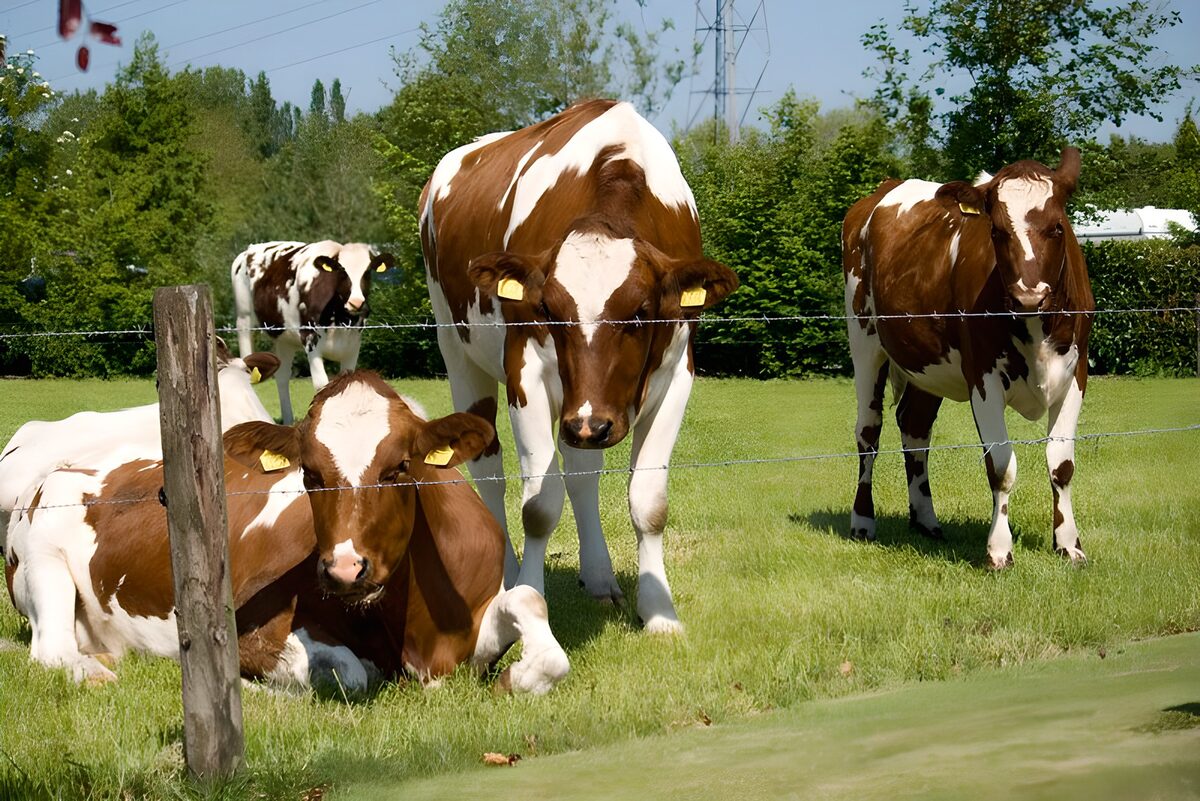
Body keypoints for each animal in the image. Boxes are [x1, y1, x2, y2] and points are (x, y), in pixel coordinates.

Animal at [5, 371, 568, 695]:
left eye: (399, 467)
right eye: (310, 474)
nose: (345, 569)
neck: (420, 634)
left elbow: (532, 607)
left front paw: (519, 676)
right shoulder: (247, 631)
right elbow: (350, 673)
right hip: (41, 561)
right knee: (51, 650)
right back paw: (93, 669)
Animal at [232, 240, 396, 424]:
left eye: (367, 271)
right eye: (342, 271)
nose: (356, 302)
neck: (339, 322)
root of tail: (250, 249)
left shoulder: (354, 344)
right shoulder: (310, 339)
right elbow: (321, 384)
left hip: (284, 339)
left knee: (282, 376)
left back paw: (288, 421)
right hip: (244, 321)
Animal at [419, 99, 738, 633]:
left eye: (641, 311)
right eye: (548, 308)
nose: (592, 423)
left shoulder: (676, 373)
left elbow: (648, 500)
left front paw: (659, 611)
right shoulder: (524, 372)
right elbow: (538, 507)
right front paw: (528, 602)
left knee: (582, 470)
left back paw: (600, 577)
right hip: (459, 352)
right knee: (490, 472)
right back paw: (505, 577)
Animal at [842, 147, 1094, 569]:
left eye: (1057, 228)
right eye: (996, 232)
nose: (1028, 296)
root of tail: (886, 187)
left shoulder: (1076, 373)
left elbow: (1061, 463)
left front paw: (1069, 544)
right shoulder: (983, 376)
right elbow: (1001, 465)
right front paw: (999, 550)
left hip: (926, 364)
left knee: (915, 428)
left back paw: (925, 520)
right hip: (864, 341)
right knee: (869, 433)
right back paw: (863, 521)